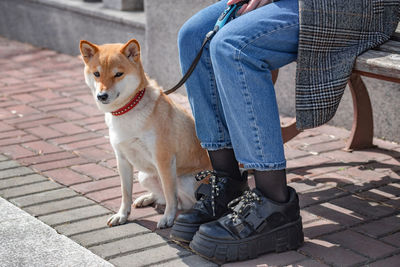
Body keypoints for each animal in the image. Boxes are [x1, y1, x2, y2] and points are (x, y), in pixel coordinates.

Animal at [80, 38, 212, 229]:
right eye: (97, 74)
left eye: (118, 74)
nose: (102, 96)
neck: (127, 110)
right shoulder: (122, 159)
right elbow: (125, 193)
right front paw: (122, 215)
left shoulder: (164, 160)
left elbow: (170, 194)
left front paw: (167, 218)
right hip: (144, 176)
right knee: (163, 197)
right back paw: (146, 198)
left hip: (186, 180)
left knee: (181, 200)